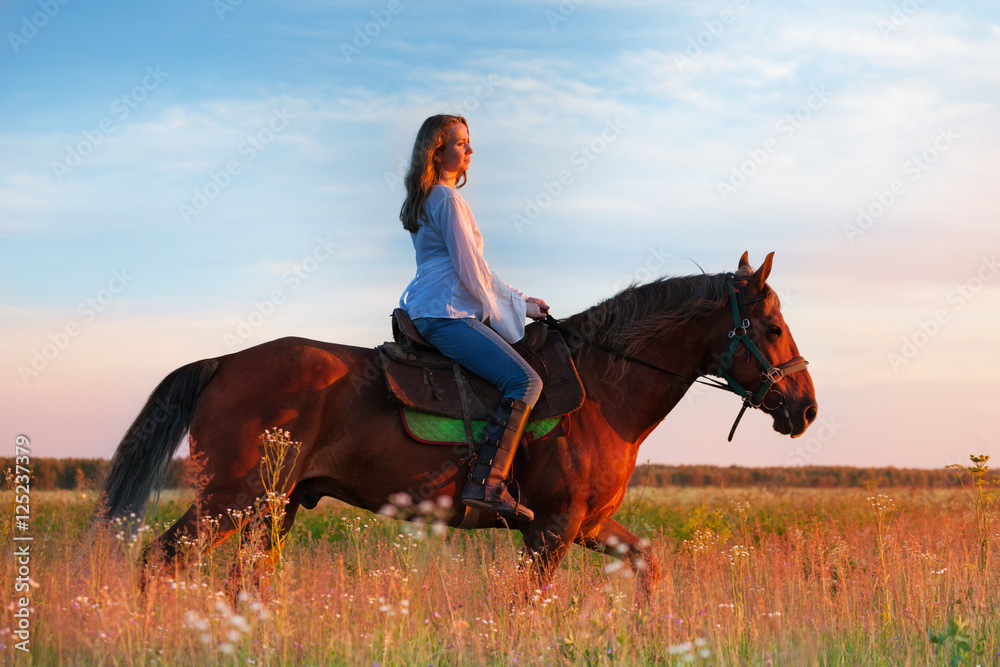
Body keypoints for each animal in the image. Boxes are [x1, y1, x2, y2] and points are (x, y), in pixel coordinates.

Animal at [99, 252, 820, 604]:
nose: (806, 409)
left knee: (243, 579)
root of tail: (223, 362)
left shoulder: (588, 524)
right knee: (158, 561)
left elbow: (649, 565)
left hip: (275, 507)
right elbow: (526, 607)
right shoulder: (552, 528)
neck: (604, 390)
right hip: (231, 499)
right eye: (772, 327)